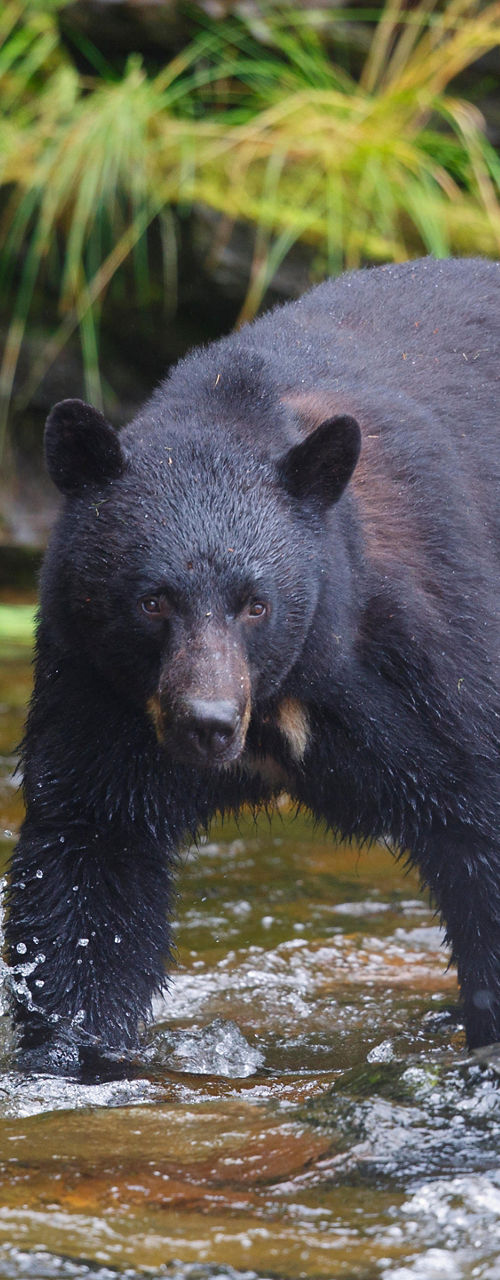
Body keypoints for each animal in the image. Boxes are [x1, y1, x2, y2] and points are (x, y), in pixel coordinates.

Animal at [6, 256, 500, 1072]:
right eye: (153, 600)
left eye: (255, 604)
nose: (206, 724)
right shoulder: (97, 687)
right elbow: (90, 856)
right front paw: (75, 1053)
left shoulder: (422, 660)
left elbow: (479, 816)